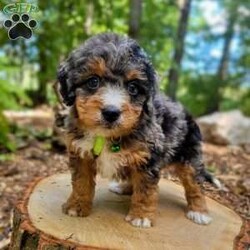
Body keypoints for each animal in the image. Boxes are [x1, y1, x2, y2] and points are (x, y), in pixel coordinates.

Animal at [57, 33, 219, 229]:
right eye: (93, 81)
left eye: (133, 87)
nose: (111, 112)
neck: (105, 136)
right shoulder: (81, 154)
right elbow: (81, 182)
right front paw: (77, 206)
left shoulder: (148, 158)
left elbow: (145, 189)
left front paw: (141, 216)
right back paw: (123, 187)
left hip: (190, 158)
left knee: (195, 184)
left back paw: (199, 211)